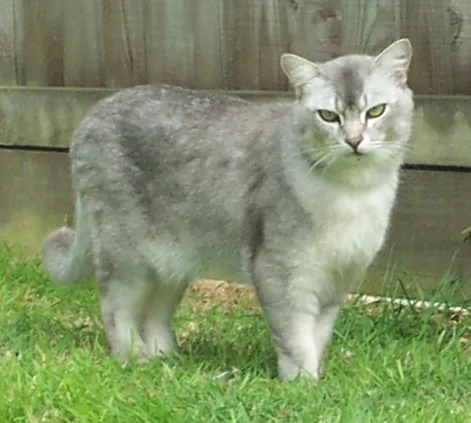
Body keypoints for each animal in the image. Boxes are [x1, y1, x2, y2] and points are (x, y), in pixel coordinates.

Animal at [42, 39, 414, 380]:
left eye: (376, 111)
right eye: (328, 116)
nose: (354, 141)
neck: (353, 193)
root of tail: (92, 113)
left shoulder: (336, 281)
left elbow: (318, 337)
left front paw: (316, 379)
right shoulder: (281, 272)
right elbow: (296, 338)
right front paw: (302, 384)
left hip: (171, 263)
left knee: (154, 314)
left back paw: (168, 359)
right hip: (126, 257)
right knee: (116, 308)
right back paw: (134, 359)